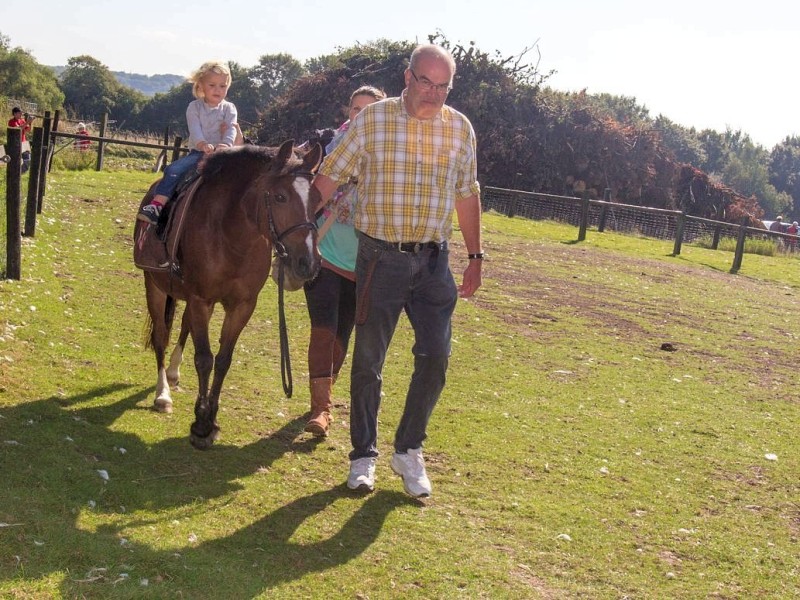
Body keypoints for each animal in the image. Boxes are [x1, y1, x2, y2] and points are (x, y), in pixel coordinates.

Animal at [141, 142, 322, 450]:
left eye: (317, 199)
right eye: (280, 196)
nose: (307, 263)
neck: (231, 236)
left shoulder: (241, 306)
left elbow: (224, 360)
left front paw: (211, 419)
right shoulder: (201, 300)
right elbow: (204, 359)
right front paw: (200, 426)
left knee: (184, 327)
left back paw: (174, 374)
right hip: (155, 287)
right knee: (161, 337)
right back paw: (162, 393)